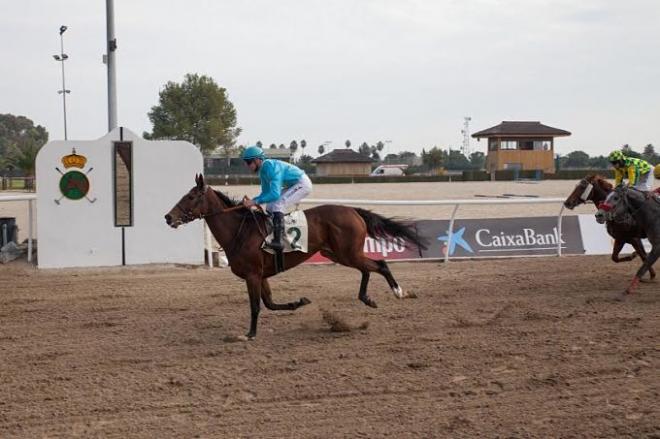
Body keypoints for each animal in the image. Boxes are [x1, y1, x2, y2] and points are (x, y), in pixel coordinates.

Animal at [162, 175, 426, 340]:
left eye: (190, 197)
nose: (168, 217)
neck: (240, 230)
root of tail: (353, 210)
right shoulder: (261, 275)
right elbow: (270, 303)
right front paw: (300, 302)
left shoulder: (252, 274)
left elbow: (256, 306)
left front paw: (250, 334)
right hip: (339, 253)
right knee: (368, 268)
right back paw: (367, 298)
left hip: (347, 252)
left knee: (379, 264)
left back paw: (398, 292)